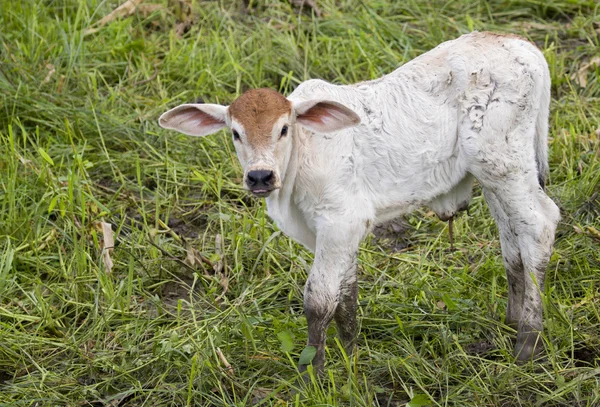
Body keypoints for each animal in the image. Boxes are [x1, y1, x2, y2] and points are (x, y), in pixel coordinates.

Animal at [161, 32, 564, 370]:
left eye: (284, 129)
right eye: (235, 133)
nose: (260, 177)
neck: (302, 156)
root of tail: (518, 44)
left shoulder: (339, 219)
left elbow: (319, 299)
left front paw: (314, 371)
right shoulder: (337, 231)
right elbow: (346, 293)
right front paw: (349, 353)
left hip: (503, 163)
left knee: (539, 224)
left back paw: (527, 341)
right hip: (494, 176)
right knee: (513, 244)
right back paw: (511, 321)